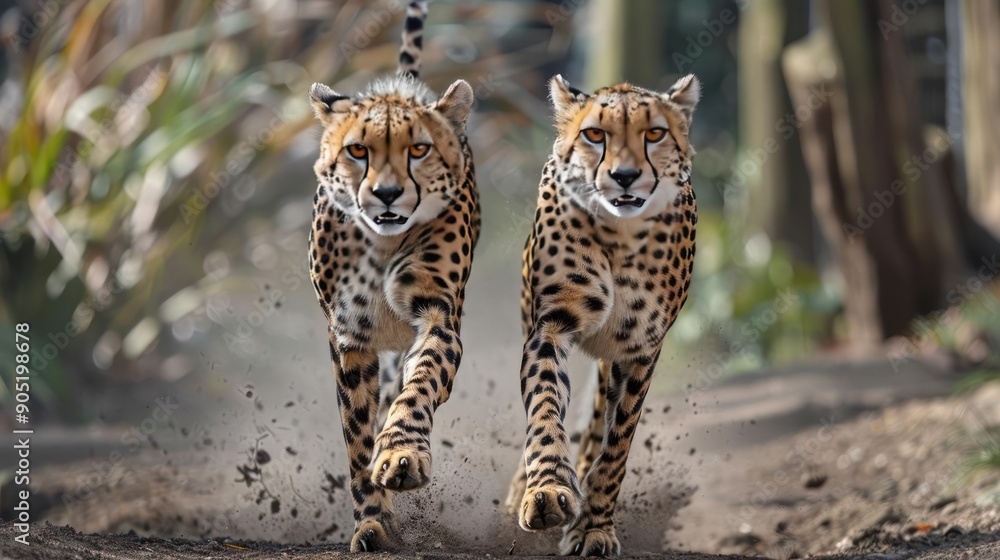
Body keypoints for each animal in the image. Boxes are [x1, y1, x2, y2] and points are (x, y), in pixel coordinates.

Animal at [306, 1, 479, 552]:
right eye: (358, 150)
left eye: (418, 150)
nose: (386, 194)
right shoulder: (349, 337)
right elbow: (357, 431)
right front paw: (373, 521)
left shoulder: (438, 315)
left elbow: (420, 384)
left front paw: (401, 456)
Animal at [505, 73, 701, 557]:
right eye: (595, 134)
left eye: (655, 133)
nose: (624, 176)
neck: (619, 235)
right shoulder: (550, 326)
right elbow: (544, 408)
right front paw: (547, 492)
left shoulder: (639, 349)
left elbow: (617, 445)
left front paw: (593, 527)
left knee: (597, 424)